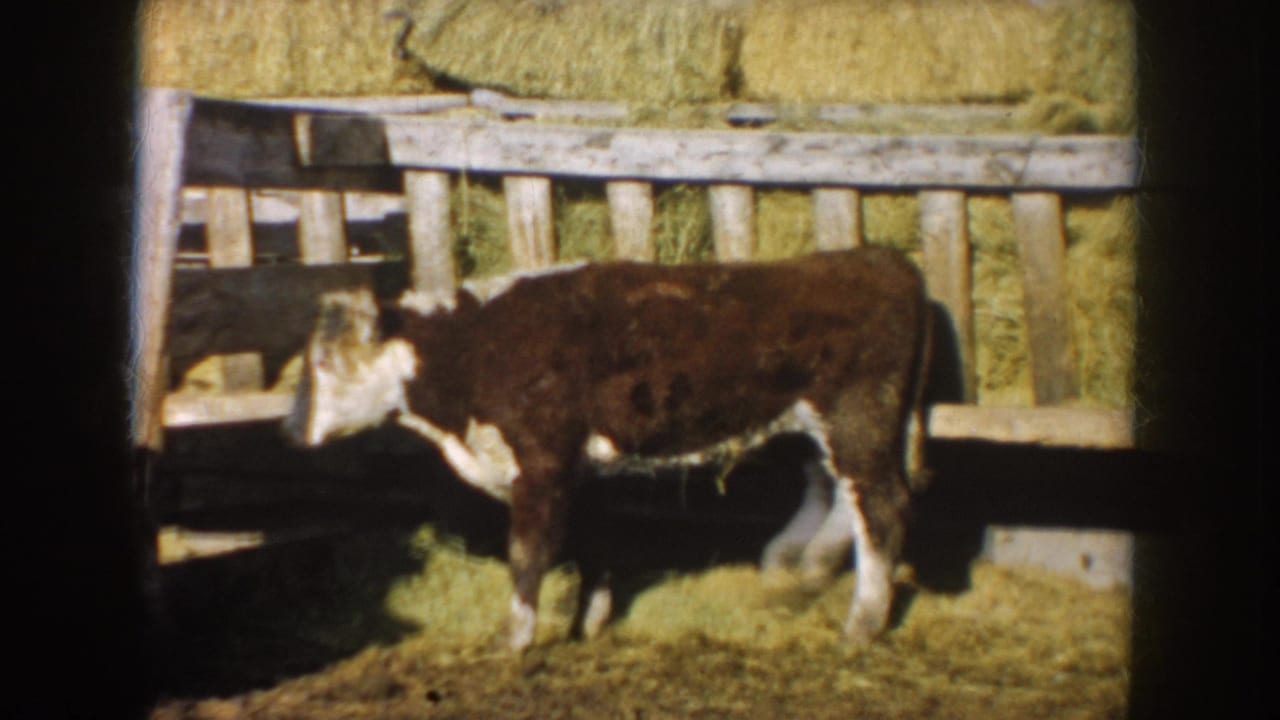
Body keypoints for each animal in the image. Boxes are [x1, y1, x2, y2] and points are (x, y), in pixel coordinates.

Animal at [284, 247, 931, 651]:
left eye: (324, 364)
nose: (289, 431)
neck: (471, 350)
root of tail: (879, 258)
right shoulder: (575, 469)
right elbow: (588, 543)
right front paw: (588, 622)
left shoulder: (542, 459)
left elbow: (529, 551)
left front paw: (514, 637)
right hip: (822, 426)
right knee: (837, 494)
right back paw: (799, 571)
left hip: (859, 416)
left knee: (882, 507)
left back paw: (861, 624)